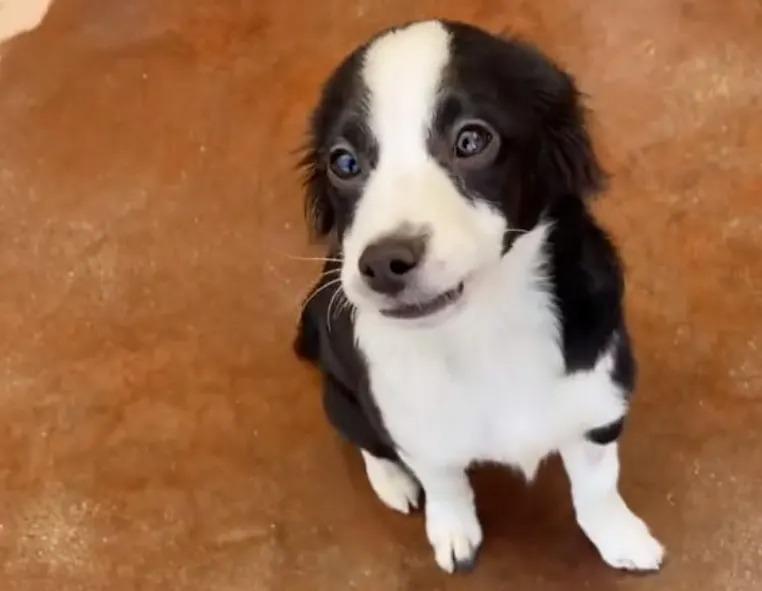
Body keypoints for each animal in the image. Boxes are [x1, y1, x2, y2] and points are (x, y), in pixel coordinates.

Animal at [294, 22, 664, 572]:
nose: (382, 264)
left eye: (471, 140)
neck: (482, 328)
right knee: (366, 441)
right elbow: (445, 483)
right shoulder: (416, 429)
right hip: (342, 397)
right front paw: (452, 532)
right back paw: (392, 481)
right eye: (344, 162)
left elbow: (598, 485)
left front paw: (620, 536)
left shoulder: (599, 401)